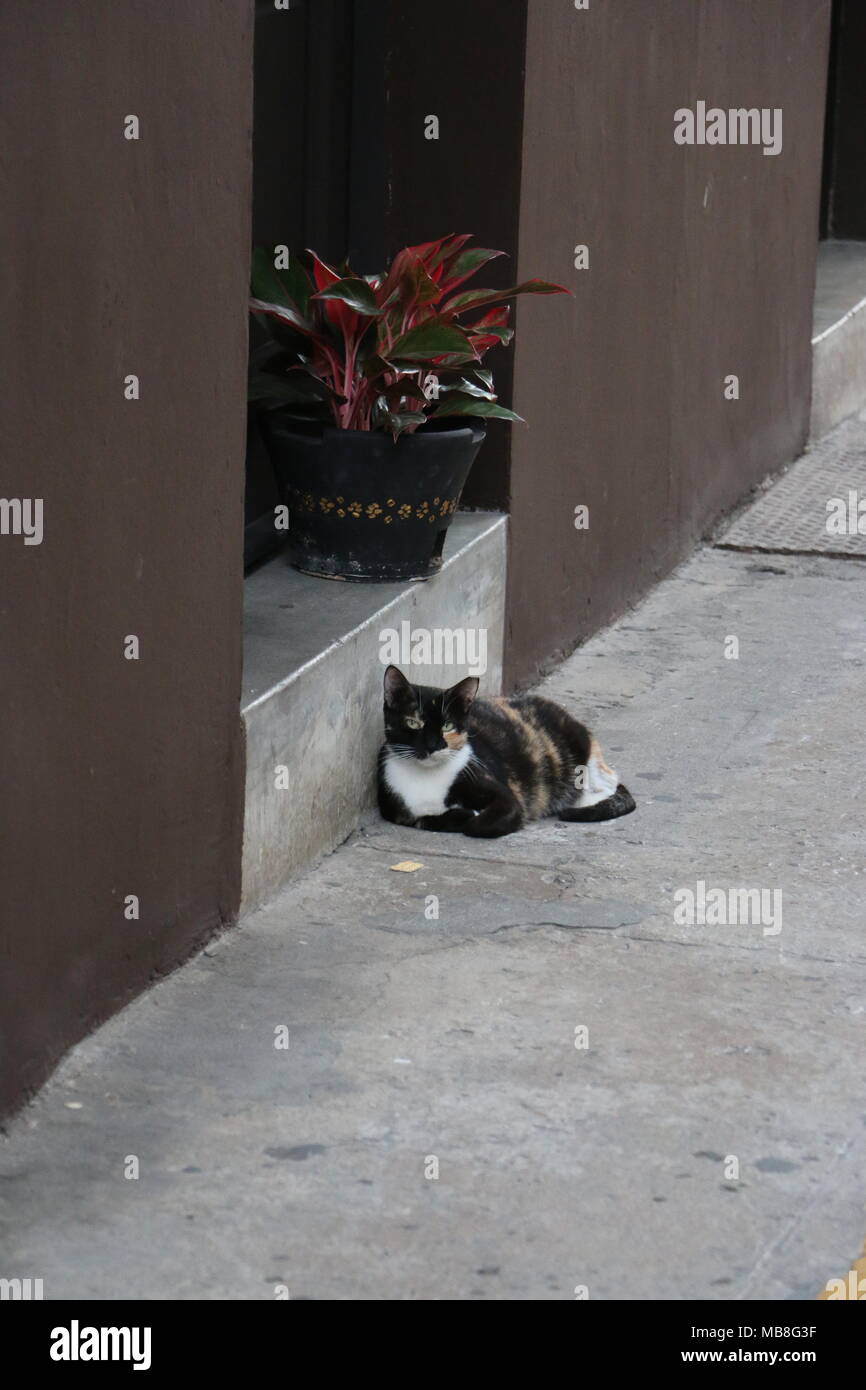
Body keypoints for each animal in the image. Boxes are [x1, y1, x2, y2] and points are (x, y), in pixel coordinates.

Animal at [375, 661, 633, 834]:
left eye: (448, 725)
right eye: (413, 723)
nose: (433, 745)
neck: (427, 778)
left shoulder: (507, 797)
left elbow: (482, 824)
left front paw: (472, 816)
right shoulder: (398, 810)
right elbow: (425, 819)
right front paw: (460, 814)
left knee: (608, 783)